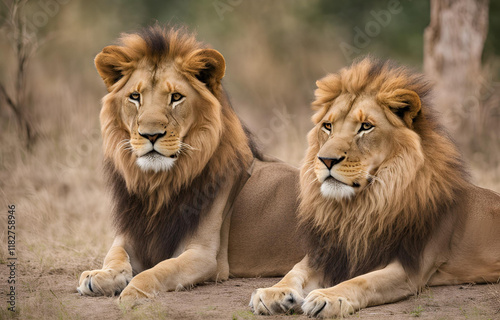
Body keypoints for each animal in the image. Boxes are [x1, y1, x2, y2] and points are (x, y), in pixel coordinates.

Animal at [77, 26, 304, 304]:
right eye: (135, 97)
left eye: (176, 97)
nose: (150, 135)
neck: (157, 184)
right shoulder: (130, 234)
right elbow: (115, 255)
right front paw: (99, 276)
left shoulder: (204, 255)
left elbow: (160, 269)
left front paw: (132, 291)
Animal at [252, 57, 500, 318]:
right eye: (328, 126)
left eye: (365, 126)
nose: (325, 160)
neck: (360, 206)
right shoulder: (327, 251)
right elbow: (295, 270)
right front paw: (273, 293)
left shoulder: (410, 268)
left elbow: (361, 281)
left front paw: (328, 298)